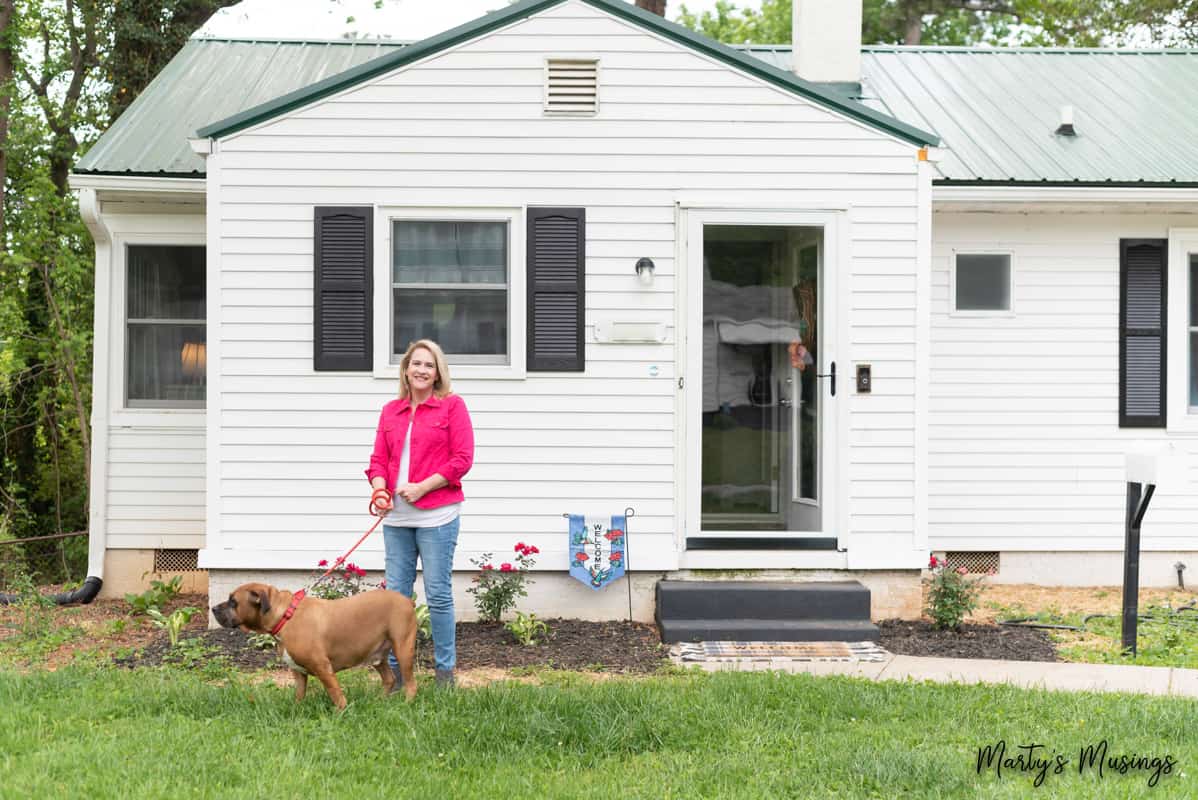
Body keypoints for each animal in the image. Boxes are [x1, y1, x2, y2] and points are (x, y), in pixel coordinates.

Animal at [213, 584, 419, 708]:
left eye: (233, 602)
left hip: (403, 649)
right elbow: (299, 693)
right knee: (389, 679)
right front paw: (297, 710)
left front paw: (341, 712)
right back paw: (380, 701)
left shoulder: (323, 668)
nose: (213, 608)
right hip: (378, 657)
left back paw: (407, 703)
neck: (285, 616)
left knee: (410, 683)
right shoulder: (298, 672)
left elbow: (335, 693)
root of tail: (407, 600)